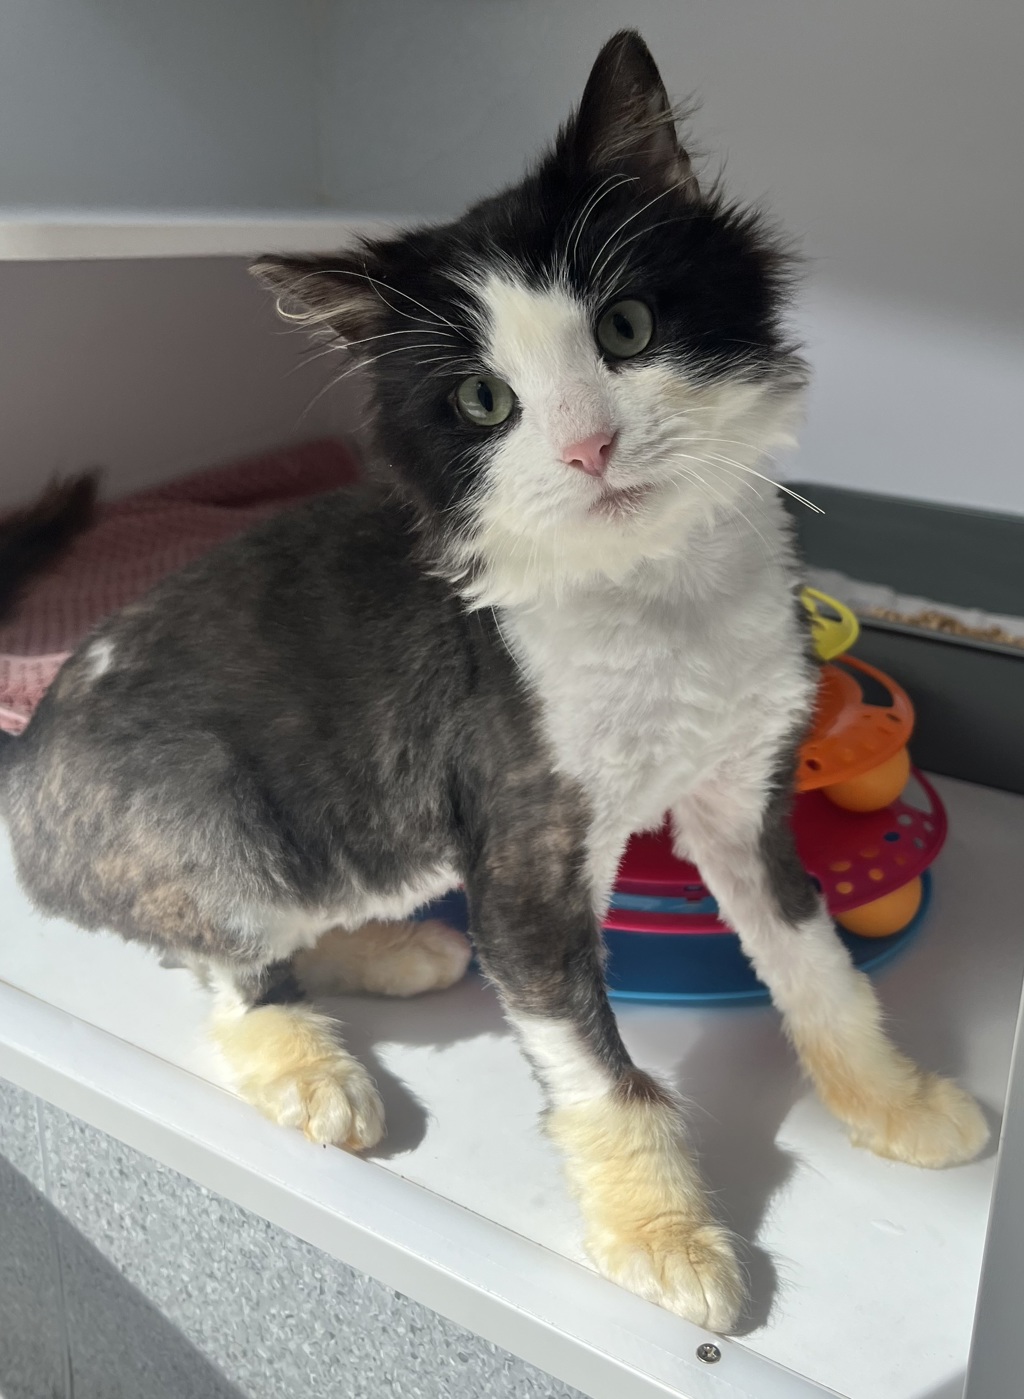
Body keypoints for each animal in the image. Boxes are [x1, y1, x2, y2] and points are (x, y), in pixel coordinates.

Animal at [0, 31, 987, 1331]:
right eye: (483, 401)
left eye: (626, 326)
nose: (587, 446)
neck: (651, 590)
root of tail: (31, 743)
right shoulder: (522, 854)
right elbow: (597, 1068)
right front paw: (661, 1231)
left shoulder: (743, 801)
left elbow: (817, 964)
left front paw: (892, 1099)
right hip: (208, 813)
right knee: (225, 963)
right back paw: (310, 1058)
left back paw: (397, 949)